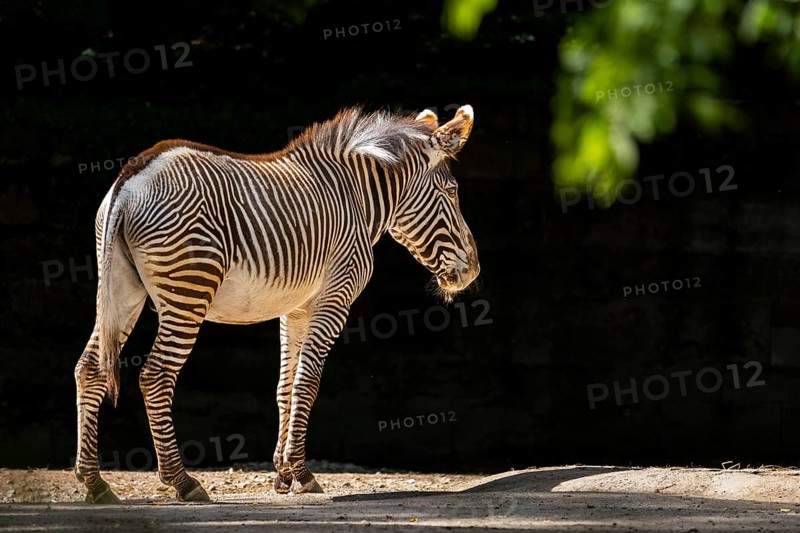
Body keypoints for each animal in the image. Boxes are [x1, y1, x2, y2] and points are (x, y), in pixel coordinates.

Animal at [74, 104, 480, 503]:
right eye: (452, 192)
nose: (473, 271)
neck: (355, 198)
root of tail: (130, 180)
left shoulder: (295, 307)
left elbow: (285, 386)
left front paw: (283, 474)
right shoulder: (336, 294)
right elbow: (307, 382)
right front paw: (302, 472)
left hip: (121, 288)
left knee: (89, 368)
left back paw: (95, 482)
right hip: (188, 289)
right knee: (156, 375)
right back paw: (182, 481)